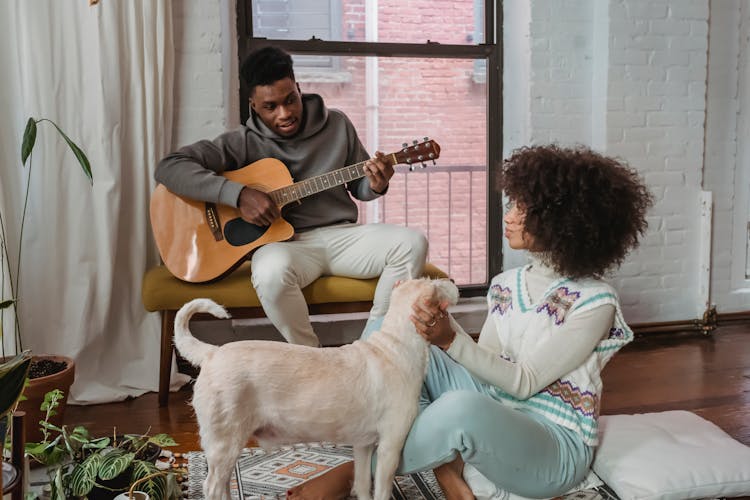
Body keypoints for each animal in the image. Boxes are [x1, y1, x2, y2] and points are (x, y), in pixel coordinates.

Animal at [175, 278, 458, 500]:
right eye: (435, 283)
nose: (453, 281)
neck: (395, 346)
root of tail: (212, 353)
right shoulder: (391, 445)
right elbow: (382, 490)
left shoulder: (364, 445)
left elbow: (363, 485)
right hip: (225, 440)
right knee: (213, 486)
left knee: (223, 484)